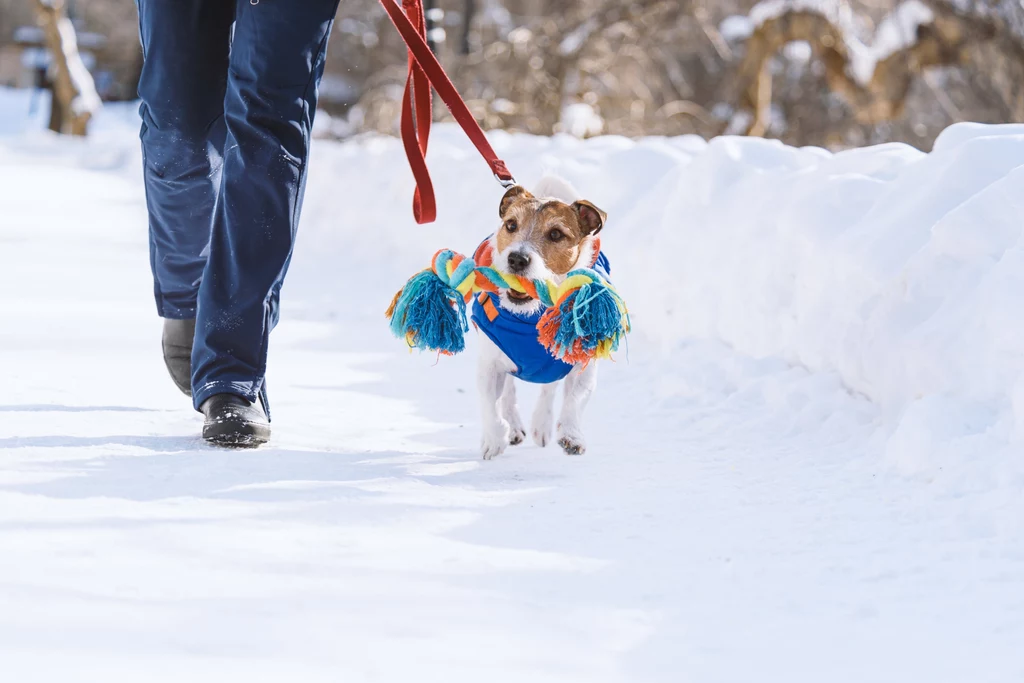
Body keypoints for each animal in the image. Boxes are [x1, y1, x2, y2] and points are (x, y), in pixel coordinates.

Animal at [468, 176, 606, 462]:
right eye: (511, 225)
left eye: (555, 234)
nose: (517, 259)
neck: (531, 318)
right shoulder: (490, 362)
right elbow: (489, 404)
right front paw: (494, 438)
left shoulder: (583, 363)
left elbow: (575, 397)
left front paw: (571, 435)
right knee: (509, 391)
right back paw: (512, 427)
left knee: (548, 388)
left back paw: (542, 424)